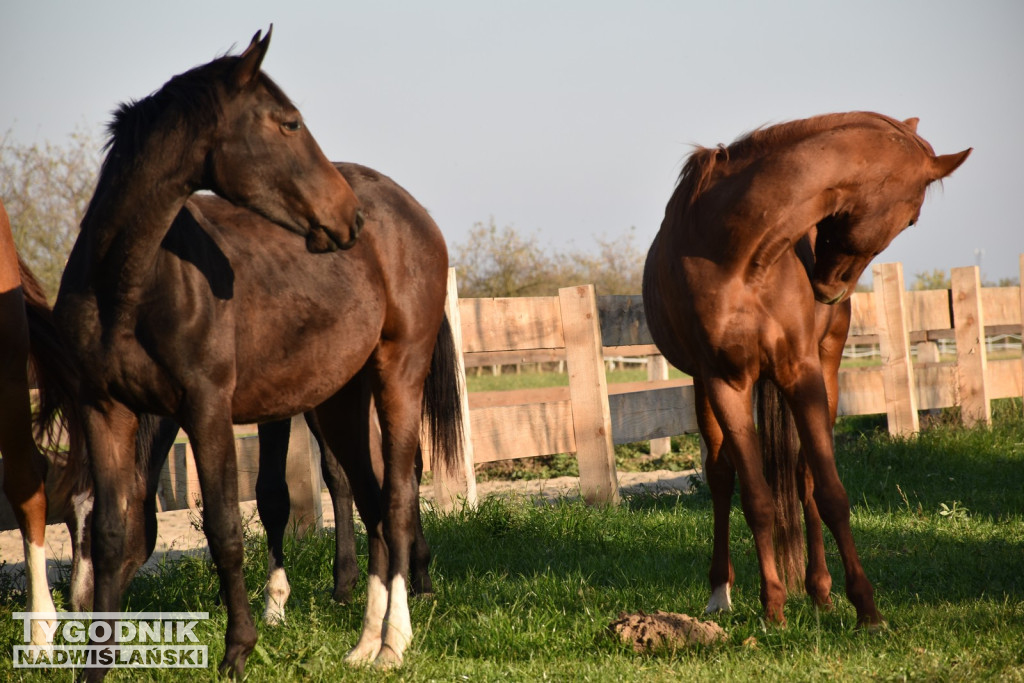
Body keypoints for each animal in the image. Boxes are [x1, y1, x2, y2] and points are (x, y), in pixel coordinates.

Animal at [52, 29, 456, 675]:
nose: (348, 216)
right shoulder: (104, 410)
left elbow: (227, 527)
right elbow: (117, 534)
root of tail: (413, 212)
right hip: (340, 400)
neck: (127, 284)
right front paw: (98, 663)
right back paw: (364, 643)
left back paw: (395, 641)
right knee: (370, 501)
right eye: (289, 123)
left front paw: (240, 649)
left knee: (397, 497)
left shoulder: (207, 409)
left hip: (399, 375)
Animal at [643, 113, 970, 630]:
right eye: (913, 216)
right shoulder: (725, 381)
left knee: (804, 480)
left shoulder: (803, 373)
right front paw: (772, 607)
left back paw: (819, 591)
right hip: (703, 388)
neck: (738, 251)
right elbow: (756, 499)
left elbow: (830, 493)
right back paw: (721, 593)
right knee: (721, 477)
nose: (827, 288)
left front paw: (866, 608)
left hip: (826, 369)